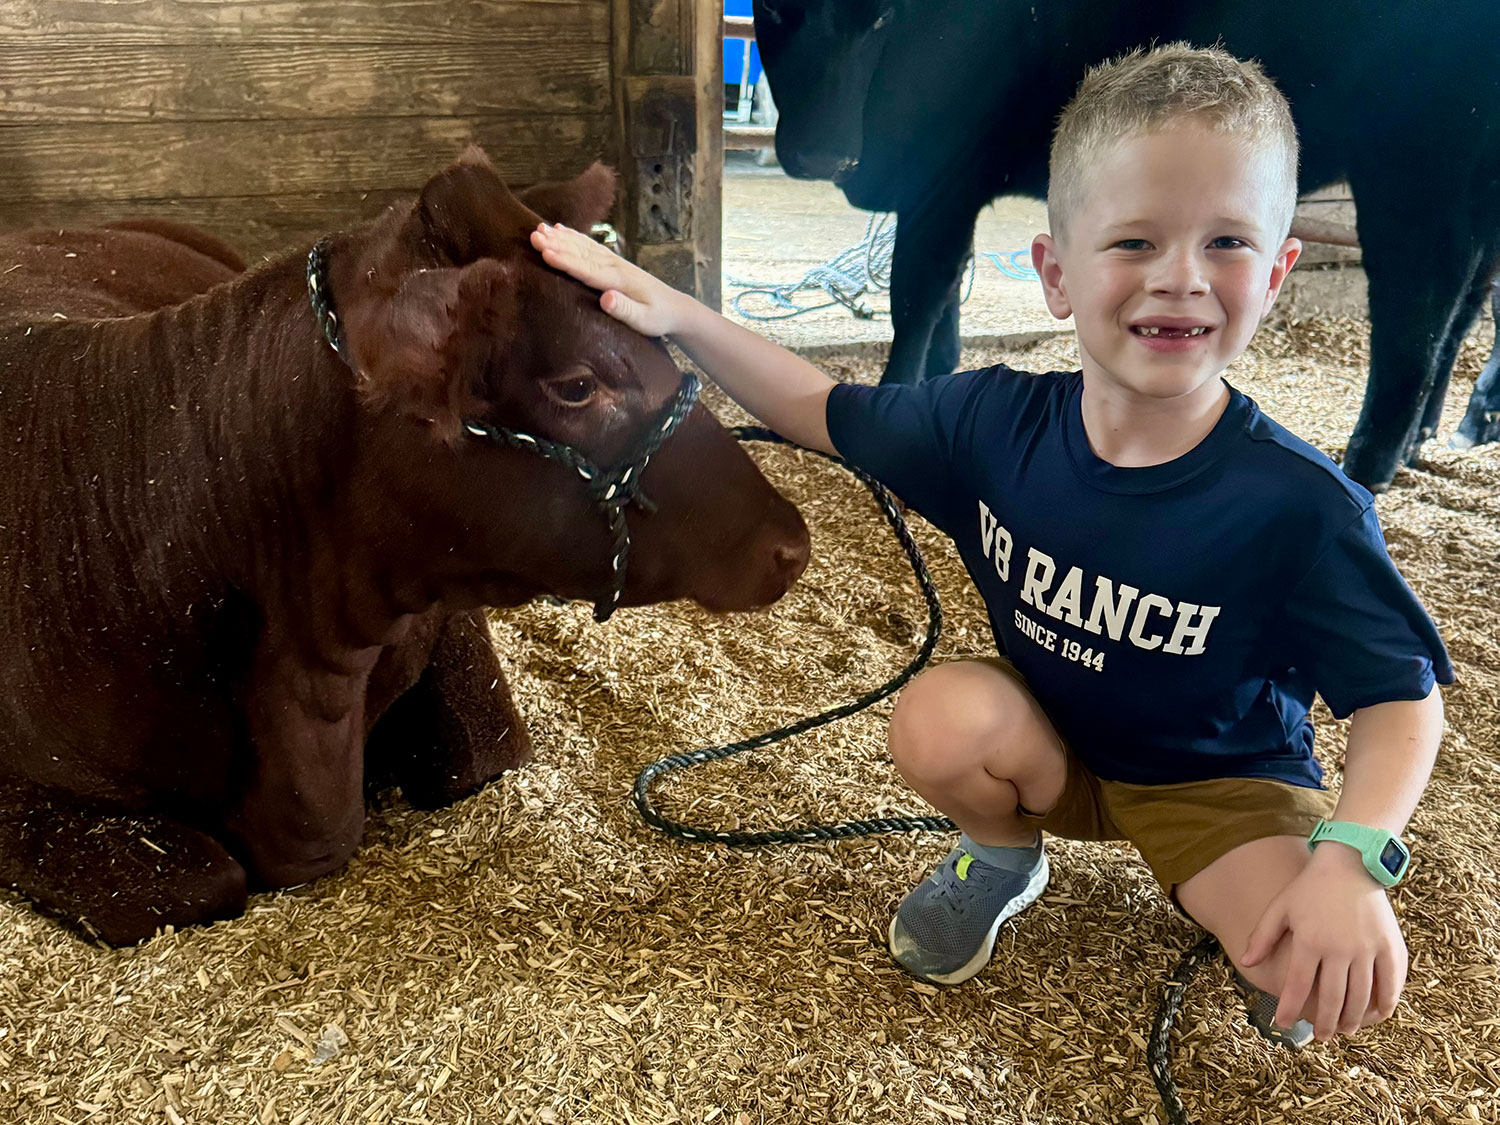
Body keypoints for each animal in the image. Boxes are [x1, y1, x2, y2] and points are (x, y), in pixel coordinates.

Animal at [756, 1, 1500, 492]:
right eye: (773, 8)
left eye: (882, 18)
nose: (824, 156)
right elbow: (945, 303)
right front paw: (939, 382)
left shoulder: (946, 173)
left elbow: (917, 293)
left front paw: (893, 397)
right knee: (1463, 309)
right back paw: (1430, 435)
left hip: (1413, 165)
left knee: (1417, 316)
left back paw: (1368, 467)